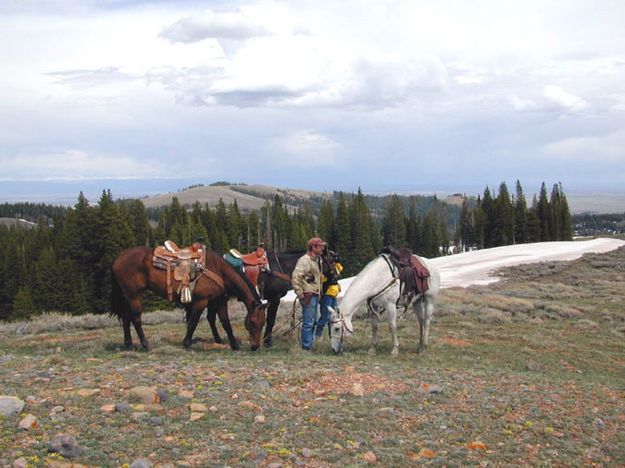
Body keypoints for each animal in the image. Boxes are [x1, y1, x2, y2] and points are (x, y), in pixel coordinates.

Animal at [111, 247, 266, 350]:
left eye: (263, 323)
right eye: (253, 322)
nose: (255, 346)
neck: (218, 271)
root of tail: (118, 258)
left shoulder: (220, 301)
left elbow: (225, 322)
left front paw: (234, 345)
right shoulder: (201, 301)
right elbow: (193, 321)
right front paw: (187, 343)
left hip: (129, 296)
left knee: (126, 317)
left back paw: (129, 344)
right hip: (134, 295)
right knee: (136, 318)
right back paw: (145, 344)